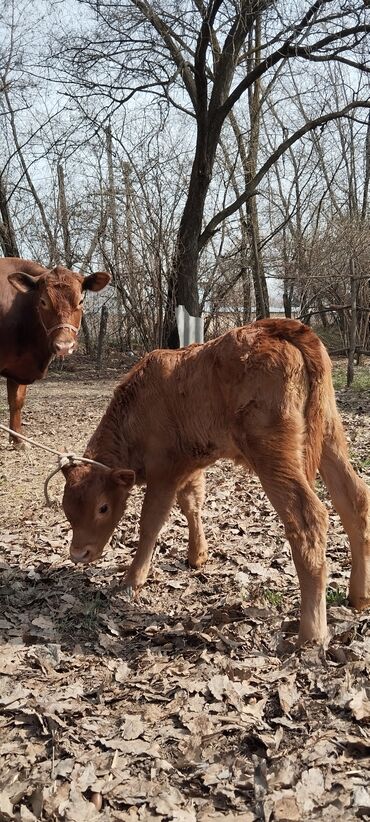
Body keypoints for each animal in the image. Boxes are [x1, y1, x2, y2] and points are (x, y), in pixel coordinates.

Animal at [0, 260, 110, 448]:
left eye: (81, 300)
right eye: (43, 301)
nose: (64, 346)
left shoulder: (18, 367)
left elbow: (16, 401)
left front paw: (18, 440)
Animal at [61, 318, 370, 648]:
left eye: (103, 508)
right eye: (67, 510)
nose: (78, 554)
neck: (137, 407)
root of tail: (276, 328)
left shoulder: (163, 473)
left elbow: (151, 523)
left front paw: (132, 580)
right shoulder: (188, 467)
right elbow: (191, 504)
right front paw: (197, 556)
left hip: (273, 453)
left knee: (307, 518)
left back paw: (311, 634)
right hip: (329, 433)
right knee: (354, 499)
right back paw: (358, 597)